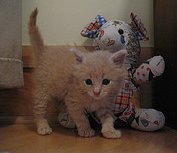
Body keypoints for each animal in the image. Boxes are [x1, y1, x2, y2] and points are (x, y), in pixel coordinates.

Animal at [29, 8, 128, 138]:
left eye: (106, 81)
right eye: (88, 81)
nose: (96, 92)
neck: (93, 99)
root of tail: (44, 52)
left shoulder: (104, 105)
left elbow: (108, 118)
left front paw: (109, 131)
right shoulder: (73, 100)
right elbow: (81, 117)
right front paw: (85, 130)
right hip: (43, 91)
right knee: (39, 109)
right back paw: (43, 126)